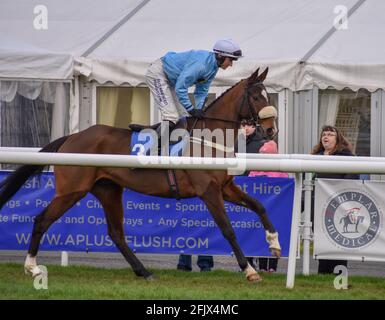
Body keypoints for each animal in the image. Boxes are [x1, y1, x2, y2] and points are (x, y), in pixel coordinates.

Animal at [0, 67, 280, 280]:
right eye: (257, 98)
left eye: (269, 96)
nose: (271, 130)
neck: (209, 138)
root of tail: (71, 137)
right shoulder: (209, 191)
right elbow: (228, 229)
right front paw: (250, 270)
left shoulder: (225, 187)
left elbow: (259, 206)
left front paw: (274, 243)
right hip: (71, 190)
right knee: (41, 220)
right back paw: (32, 267)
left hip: (108, 189)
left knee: (116, 233)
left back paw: (143, 271)